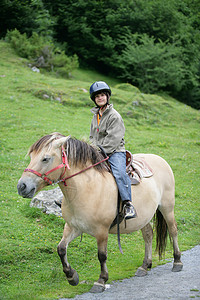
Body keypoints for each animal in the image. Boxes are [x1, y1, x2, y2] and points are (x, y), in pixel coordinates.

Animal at [17, 133, 183, 292]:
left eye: (45, 158)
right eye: (31, 157)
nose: (22, 186)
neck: (87, 189)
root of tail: (160, 159)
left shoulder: (101, 231)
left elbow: (102, 256)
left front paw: (101, 280)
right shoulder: (73, 227)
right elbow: (61, 249)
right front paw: (72, 276)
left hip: (167, 208)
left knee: (173, 230)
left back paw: (177, 261)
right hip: (144, 217)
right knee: (148, 234)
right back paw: (145, 265)